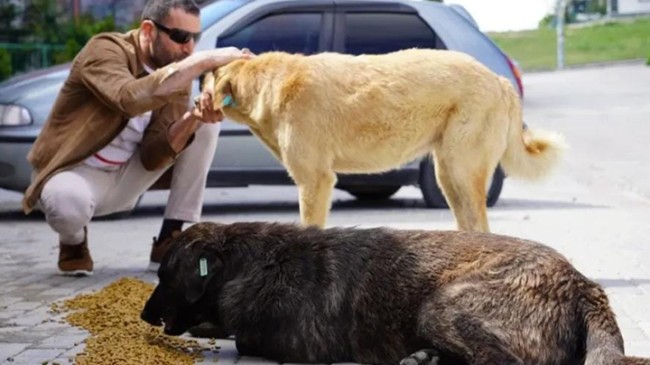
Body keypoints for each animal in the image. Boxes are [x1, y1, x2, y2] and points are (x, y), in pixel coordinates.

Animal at [139, 222, 644, 364]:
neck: (255, 260)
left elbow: (240, 336)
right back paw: (425, 358)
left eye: (164, 274)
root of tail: (582, 283)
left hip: (441, 307)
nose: (143, 317)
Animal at [206, 49, 560, 230]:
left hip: (461, 172)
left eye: (208, 77)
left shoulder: (314, 181)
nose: (198, 97)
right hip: (448, 176)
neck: (269, 83)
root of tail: (498, 79)